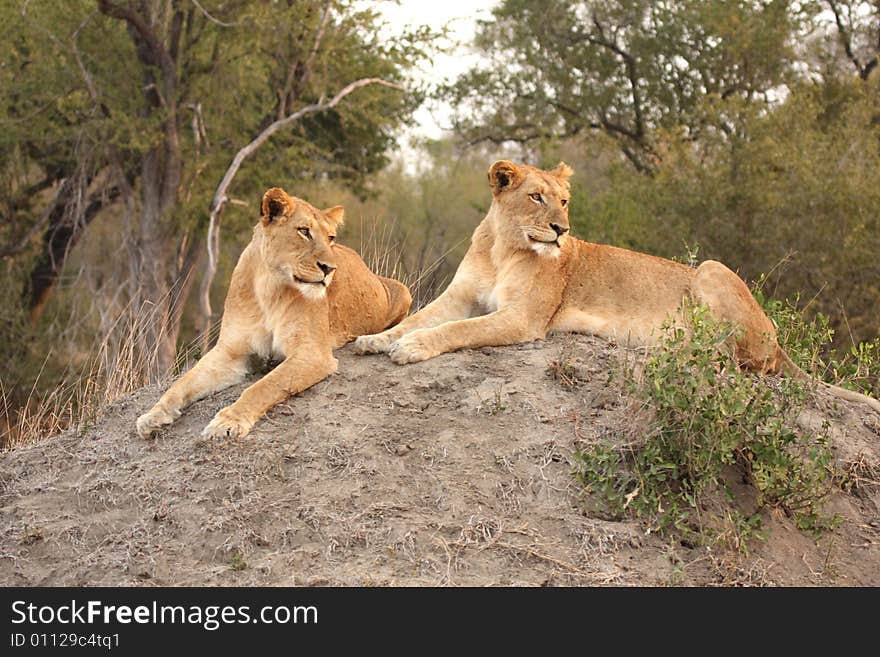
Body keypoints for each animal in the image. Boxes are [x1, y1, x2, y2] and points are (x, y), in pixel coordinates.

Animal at [138, 187, 412, 438]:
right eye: (304, 231)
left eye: (331, 237)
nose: (329, 268)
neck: (268, 287)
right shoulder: (230, 352)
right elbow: (183, 382)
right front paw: (153, 415)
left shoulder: (312, 353)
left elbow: (264, 386)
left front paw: (227, 421)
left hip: (402, 289)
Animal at [358, 161, 880, 412]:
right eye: (536, 197)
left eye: (564, 201)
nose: (562, 230)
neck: (504, 245)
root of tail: (779, 338)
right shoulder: (460, 296)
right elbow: (420, 317)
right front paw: (375, 340)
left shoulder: (525, 319)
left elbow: (457, 331)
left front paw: (412, 348)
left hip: (713, 270)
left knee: (739, 358)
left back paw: (678, 345)